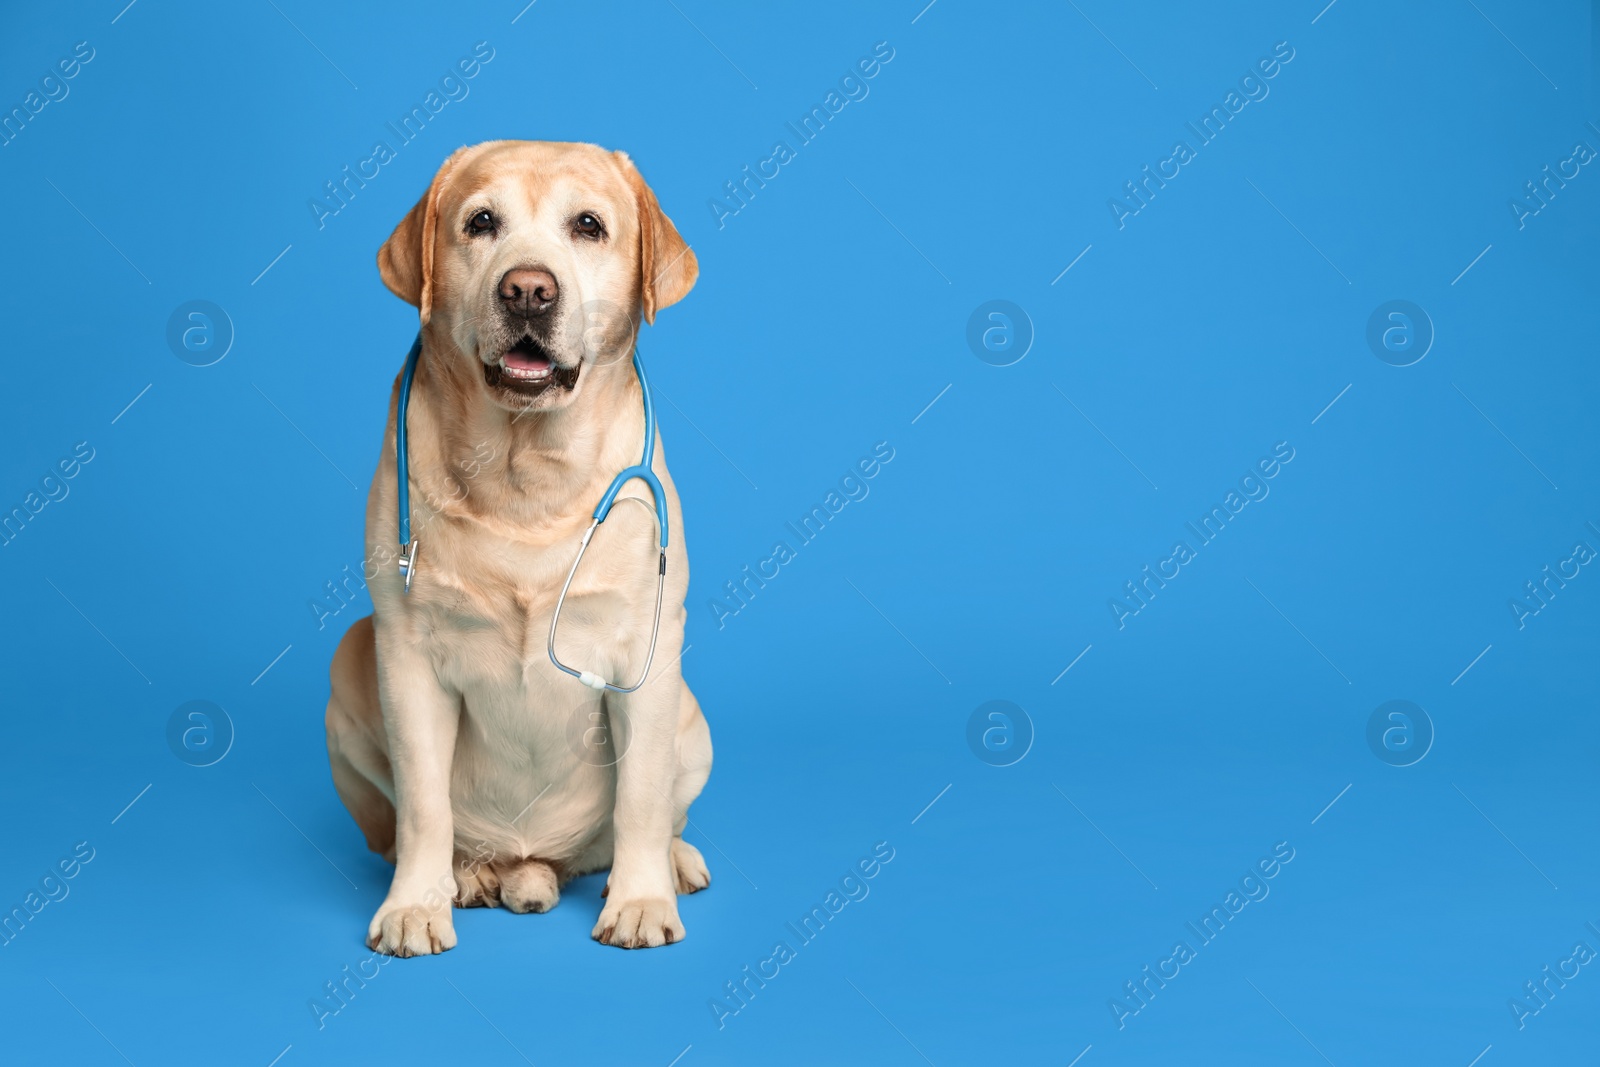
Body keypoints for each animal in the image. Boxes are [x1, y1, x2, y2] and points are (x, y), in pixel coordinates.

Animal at [324, 139, 713, 953]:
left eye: (589, 225)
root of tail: (536, 861)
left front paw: (640, 899)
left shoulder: (646, 648)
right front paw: (416, 904)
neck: (523, 468)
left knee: (658, 811)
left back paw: (672, 862)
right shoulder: (406, 654)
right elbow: (423, 804)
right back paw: (468, 876)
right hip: (350, 655)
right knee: (404, 830)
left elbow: (642, 796)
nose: (528, 291)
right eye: (481, 222)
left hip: (691, 715)